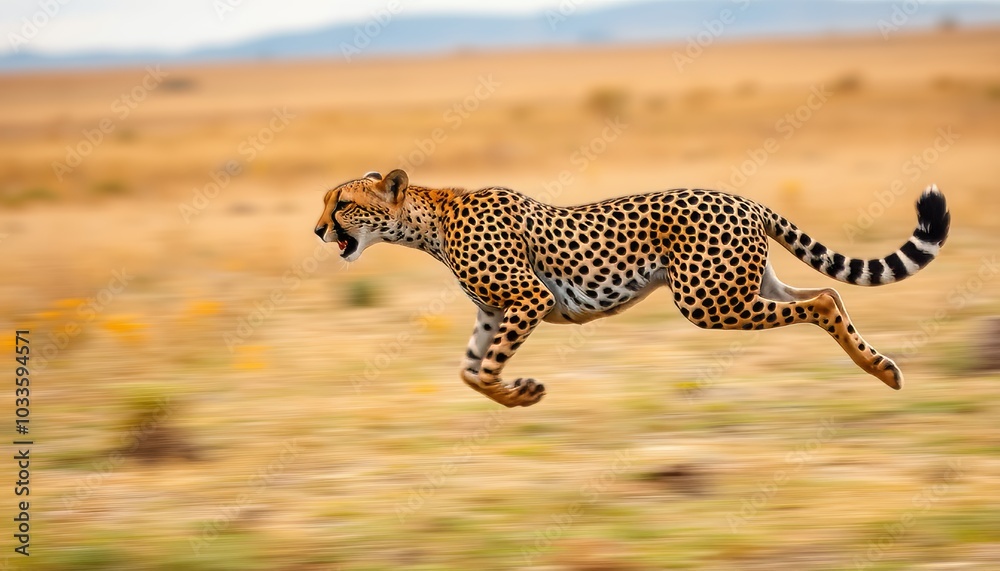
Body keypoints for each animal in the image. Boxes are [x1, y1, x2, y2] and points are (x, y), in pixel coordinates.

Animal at [314, 169, 950, 408]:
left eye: (341, 203)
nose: (319, 229)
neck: (432, 217)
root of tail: (741, 197)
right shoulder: (495, 312)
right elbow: (471, 372)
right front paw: (518, 393)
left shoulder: (530, 300)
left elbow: (486, 370)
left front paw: (521, 391)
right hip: (742, 288)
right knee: (830, 294)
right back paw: (880, 365)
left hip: (708, 300)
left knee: (820, 300)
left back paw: (880, 372)